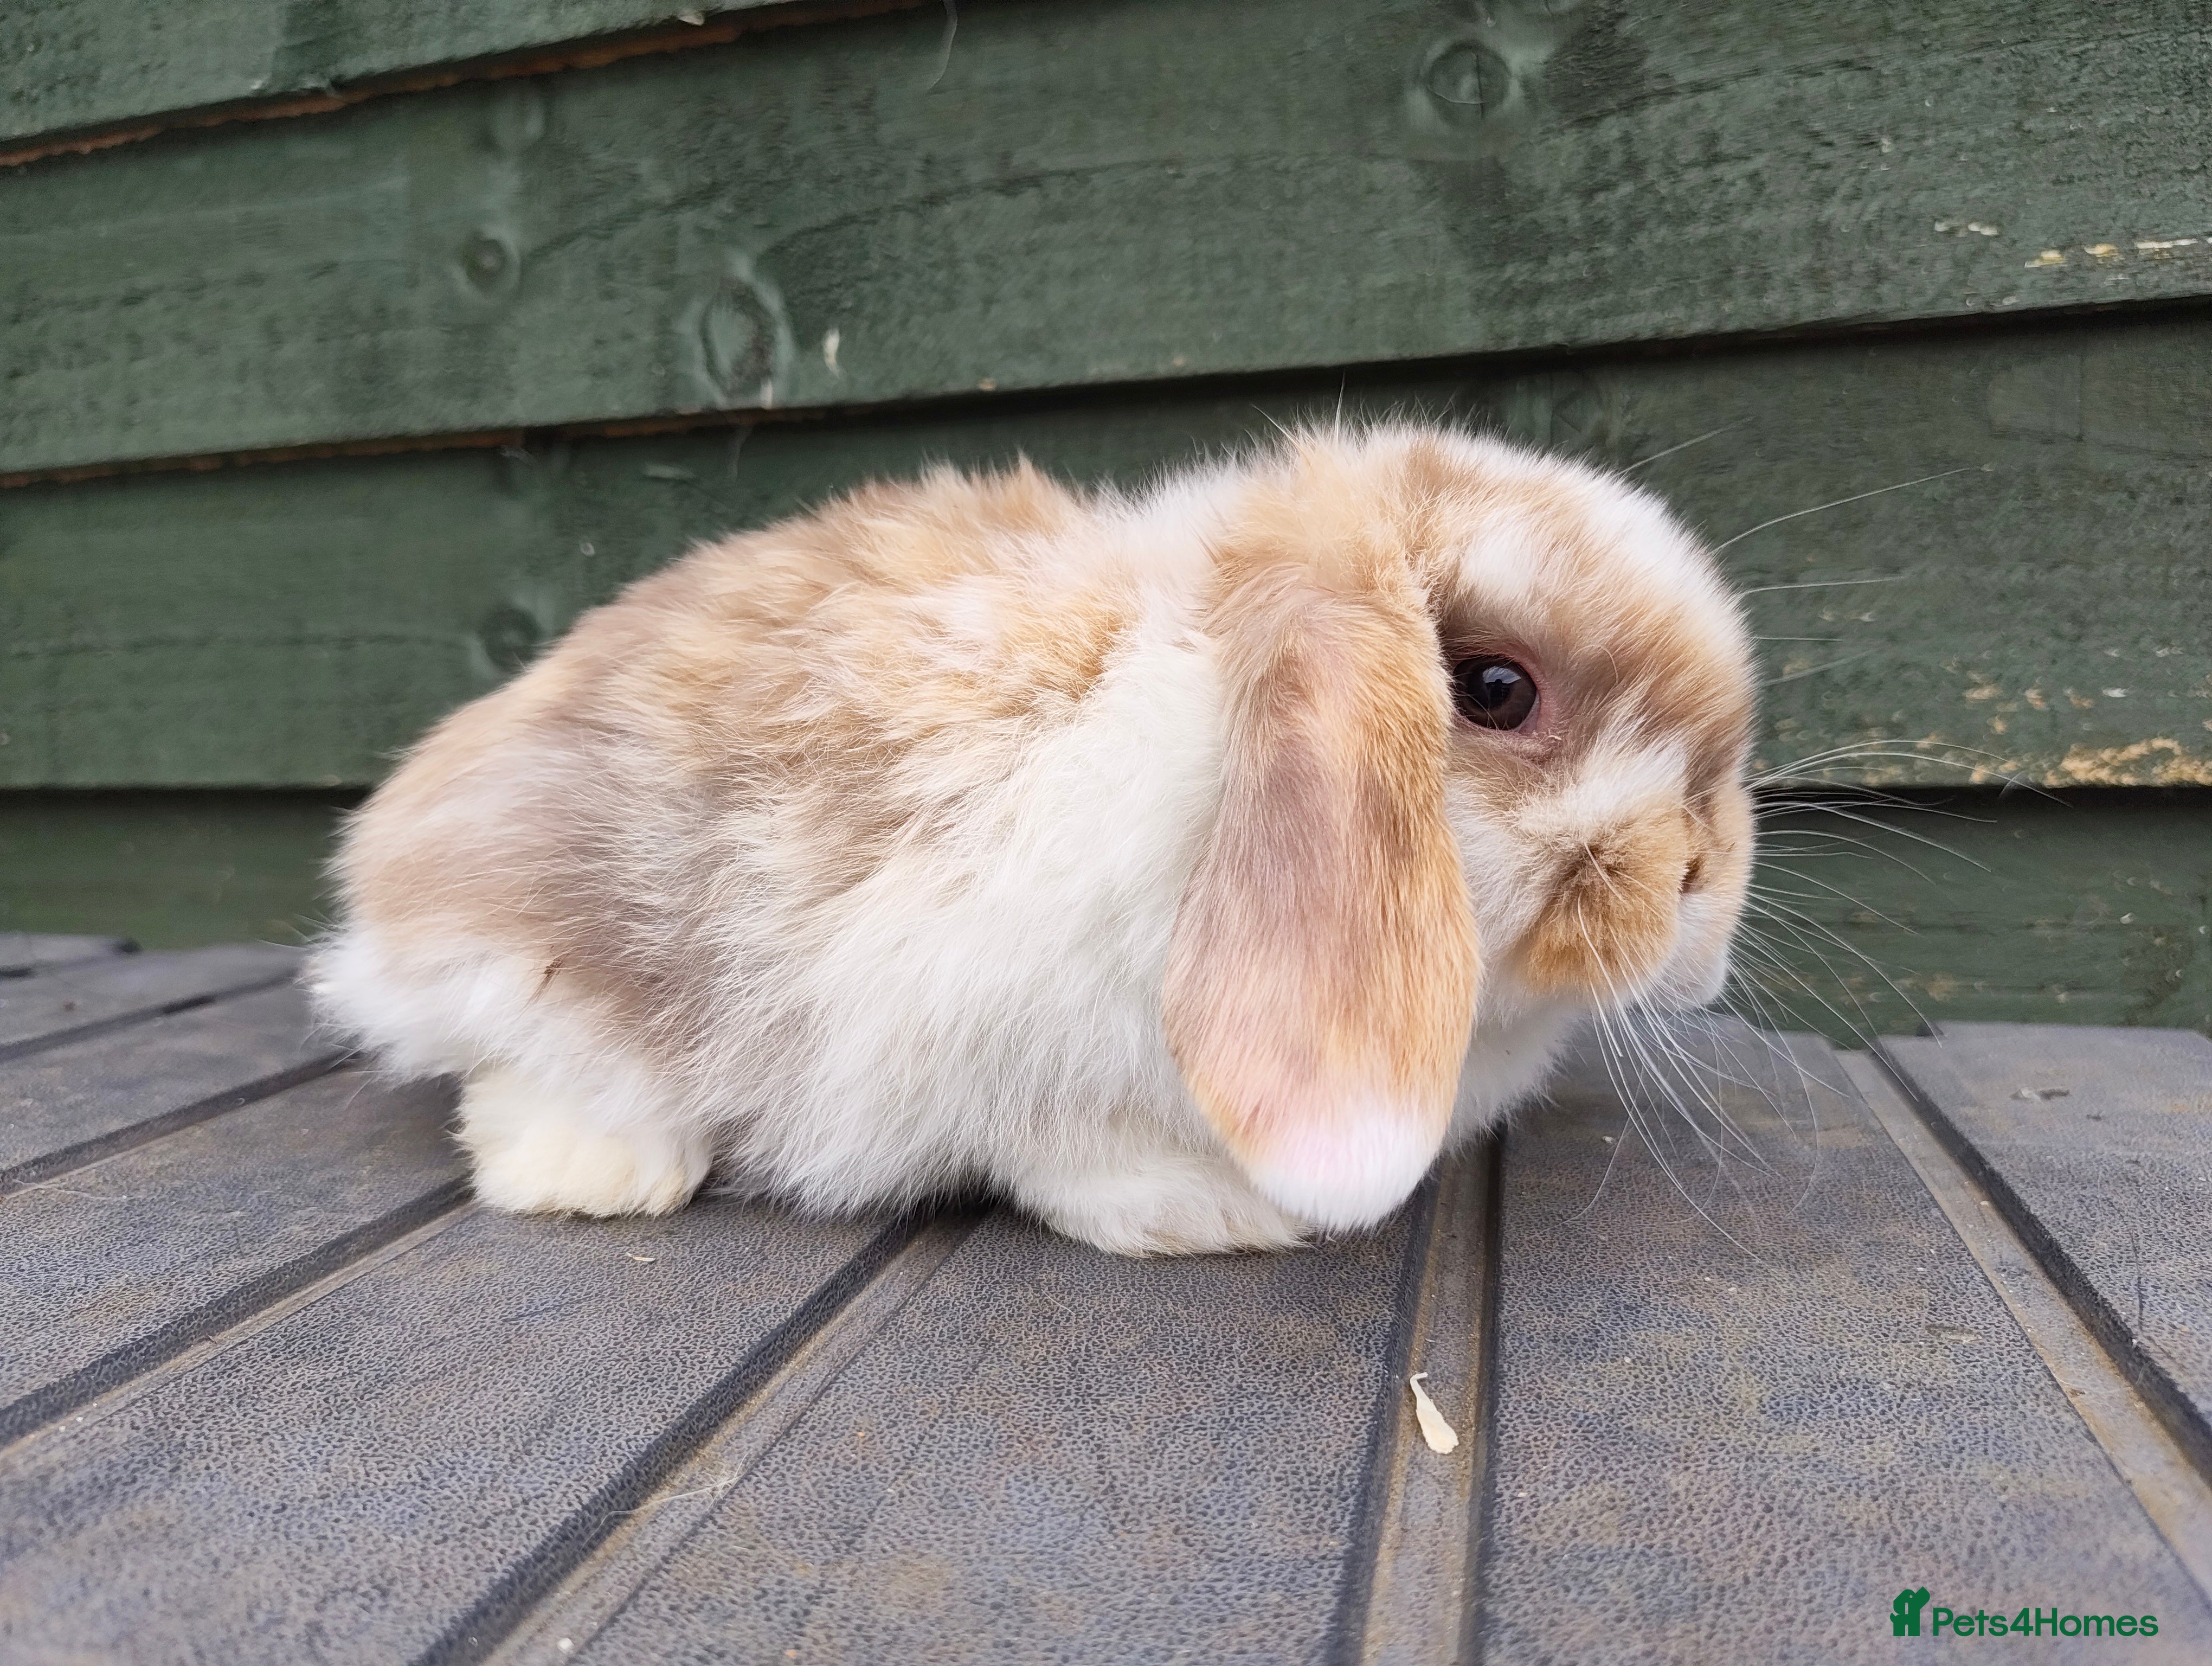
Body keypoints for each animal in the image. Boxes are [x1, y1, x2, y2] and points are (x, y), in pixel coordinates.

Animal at [311, 422, 1756, 1256]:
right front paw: (1208, 1213)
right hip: (532, 947)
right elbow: (1064, 1148)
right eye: (1496, 689)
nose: (1700, 876)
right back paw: (595, 1172)